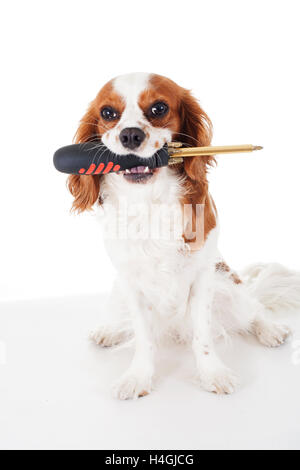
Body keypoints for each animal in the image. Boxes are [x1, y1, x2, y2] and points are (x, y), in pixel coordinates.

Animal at [68, 73, 300, 400]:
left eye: (159, 108)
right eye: (108, 113)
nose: (130, 135)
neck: (149, 201)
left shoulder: (202, 279)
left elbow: (202, 336)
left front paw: (212, 373)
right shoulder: (130, 282)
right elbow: (143, 335)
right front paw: (138, 376)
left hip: (226, 284)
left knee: (252, 308)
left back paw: (269, 329)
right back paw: (110, 330)